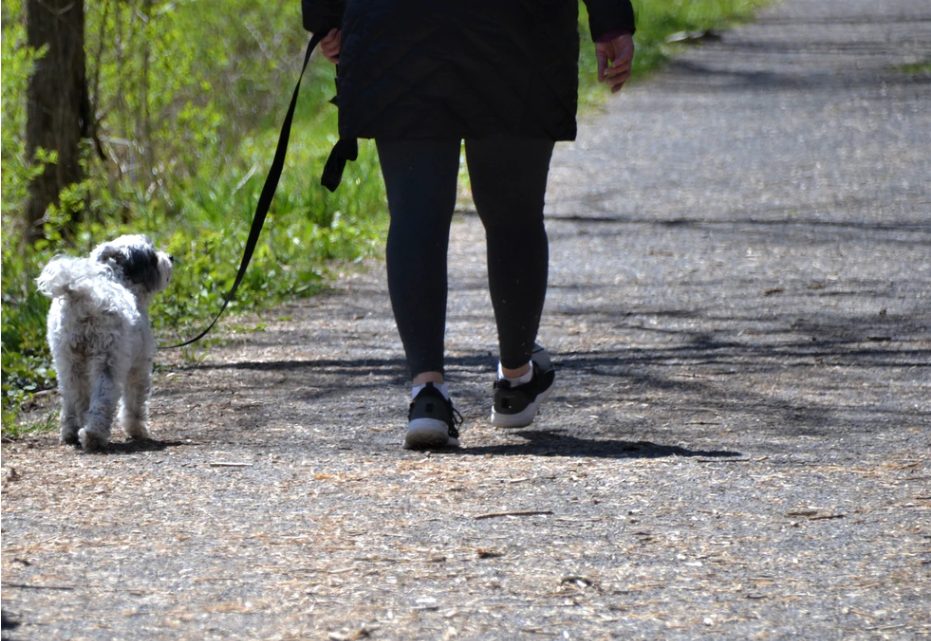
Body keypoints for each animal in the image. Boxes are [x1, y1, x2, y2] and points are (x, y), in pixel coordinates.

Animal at [36, 235, 174, 450]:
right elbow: (135, 401)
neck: (117, 279)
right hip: (108, 360)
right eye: (152, 257)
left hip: (68, 362)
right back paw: (94, 435)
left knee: (73, 398)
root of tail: (83, 294)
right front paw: (137, 429)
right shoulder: (139, 367)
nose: (170, 257)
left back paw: (71, 432)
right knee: (103, 399)